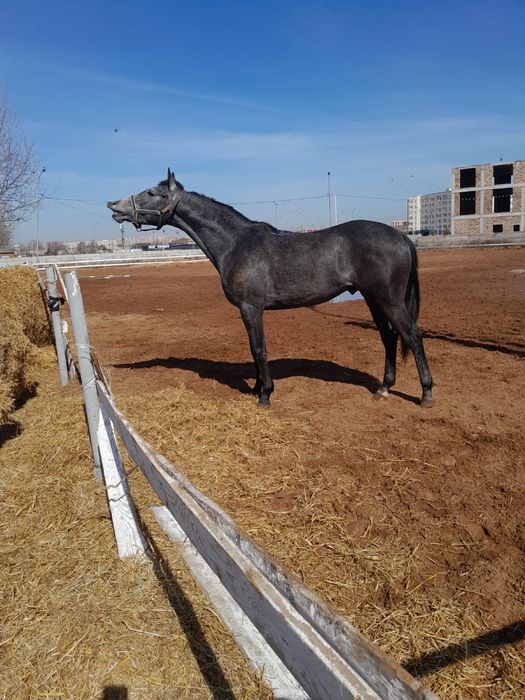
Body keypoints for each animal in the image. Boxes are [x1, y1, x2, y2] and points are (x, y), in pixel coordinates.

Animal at [107, 169, 433, 408]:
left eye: (153, 193)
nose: (113, 206)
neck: (235, 243)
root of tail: (403, 238)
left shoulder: (251, 308)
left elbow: (259, 349)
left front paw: (264, 394)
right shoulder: (250, 310)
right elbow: (254, 351)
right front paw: (256, 388)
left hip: (389, 300)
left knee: (412, 336)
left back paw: (426, 394)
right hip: (373, 299)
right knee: (389, 339)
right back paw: (383, 388)